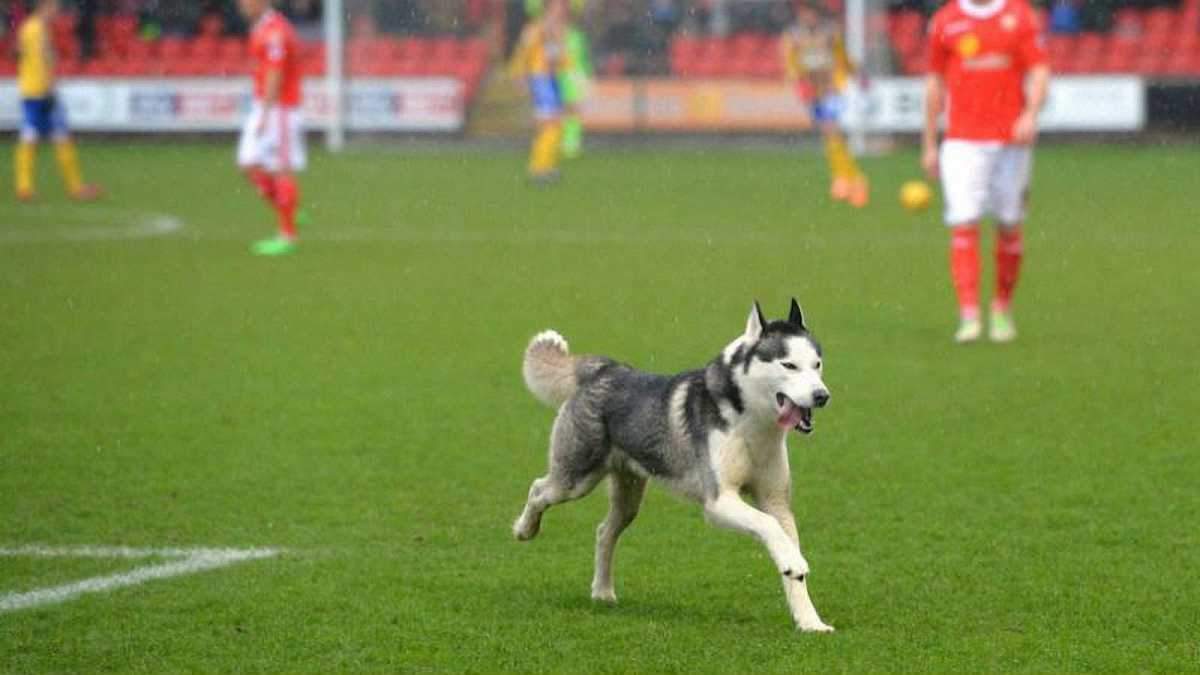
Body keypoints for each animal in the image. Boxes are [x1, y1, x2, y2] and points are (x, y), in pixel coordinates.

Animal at [513, 299, 835, 629]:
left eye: (817, 364)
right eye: (789, 365)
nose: (822, 396)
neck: (752, 425)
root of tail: (603, 369)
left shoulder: (776, 501)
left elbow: (789, 558)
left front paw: (810, 622)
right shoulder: (719, 501)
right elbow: (768, 526)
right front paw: (793, 563)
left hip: (628, 497)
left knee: (604, 532)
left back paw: (602, 592)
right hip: (575, 479)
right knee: (538, 489)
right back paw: (525, 530)